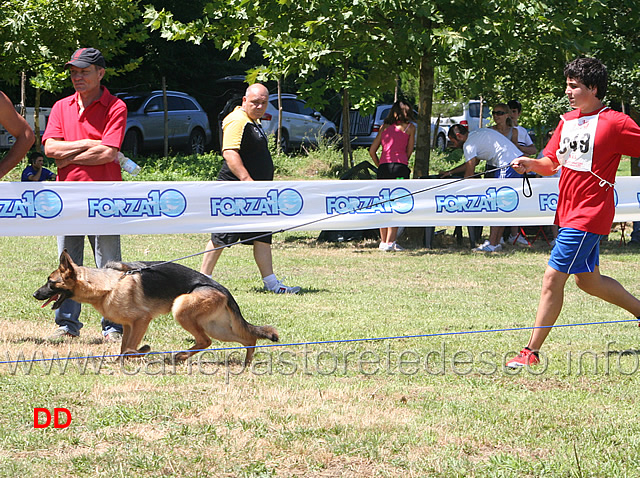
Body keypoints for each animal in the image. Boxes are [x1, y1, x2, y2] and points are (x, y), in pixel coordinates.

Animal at [32, 250, 278, 362]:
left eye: (51, 282)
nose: (35, 294)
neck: (108, 284)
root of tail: (221, 287)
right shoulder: (129, 325)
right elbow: (124, 347)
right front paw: (122, 361)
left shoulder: (142, 320)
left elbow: (130, 348)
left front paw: (142, 351)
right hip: (216, 326)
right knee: (247, 338)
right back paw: (246, 364)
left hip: (181, 308)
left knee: (206, 341)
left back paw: (180, 356)